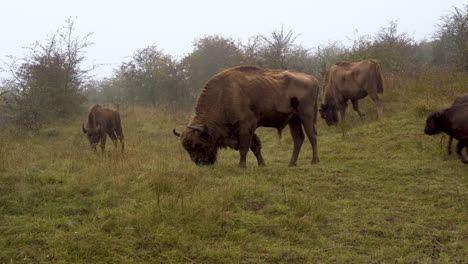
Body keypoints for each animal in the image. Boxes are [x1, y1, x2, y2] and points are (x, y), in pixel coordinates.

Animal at [174, 66, 320, 169]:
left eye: (198, 144)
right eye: (186, 148)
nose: (200, 163)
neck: (224, 94)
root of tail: (312, 78)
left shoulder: (245, 126)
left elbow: (245, 146)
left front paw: (241, 166)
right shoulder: (249, 128)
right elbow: (255, 146)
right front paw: (262, 165)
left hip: (306, 117)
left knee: (312, 136)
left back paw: (314, 161)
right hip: (293, 120)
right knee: (298, 139)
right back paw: (291, 163)